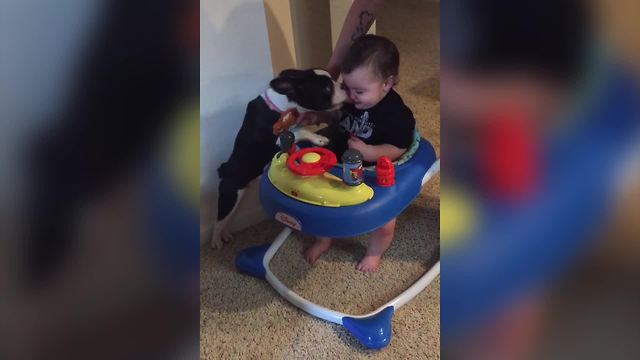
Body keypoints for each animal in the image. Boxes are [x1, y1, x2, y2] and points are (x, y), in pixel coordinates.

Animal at [212, 68, 348, 248]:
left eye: (333, 78)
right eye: (326, 89)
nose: (344, 86)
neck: (283, 105)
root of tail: (224, 169)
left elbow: (300, 128)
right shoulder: (278, 139)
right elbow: (301, 130)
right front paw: (319, 139)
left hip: (238, 197)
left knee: (228, 219)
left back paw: (226, 234)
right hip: (230, 195)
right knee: (219, 220)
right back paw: (216, 241)